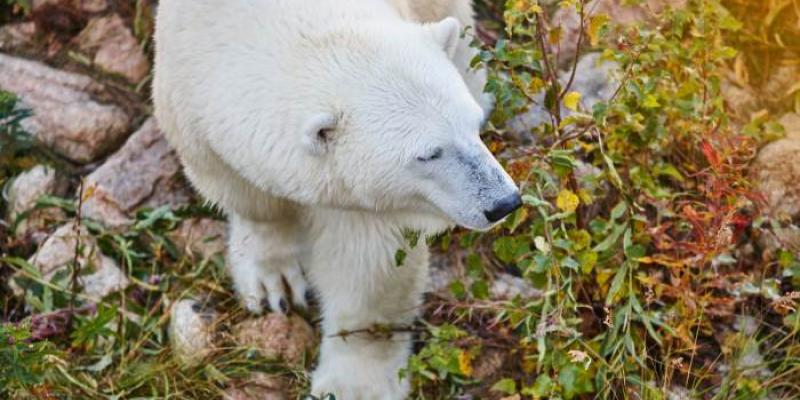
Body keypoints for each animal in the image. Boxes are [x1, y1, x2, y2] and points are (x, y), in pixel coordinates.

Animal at [153, 0, 521, 398]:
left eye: (473, 126)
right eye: (428, 154)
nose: (503, 202)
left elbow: (368, 265)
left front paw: (354, 385)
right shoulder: (186, 93)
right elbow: (250, 200)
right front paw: (274, 282)